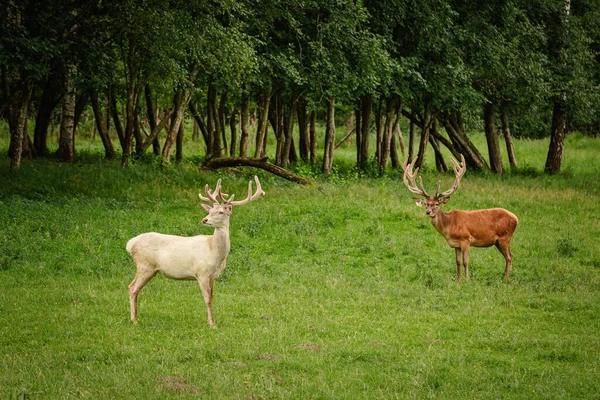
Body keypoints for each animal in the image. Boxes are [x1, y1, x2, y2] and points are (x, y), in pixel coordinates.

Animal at [125, 177, 264, 326]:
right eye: (210, 211)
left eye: (221, 212)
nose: (205, 219)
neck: (214, 253)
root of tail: (131, 243)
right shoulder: (201, 273)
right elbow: (207, 299)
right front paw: (212, 324)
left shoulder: (213, 276)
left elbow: (212, 297)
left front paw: (212, 321)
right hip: (145, 266)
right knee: (132, 288)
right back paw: (134, 320)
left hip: (148, 268)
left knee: (133, 288)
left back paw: (135, 318)